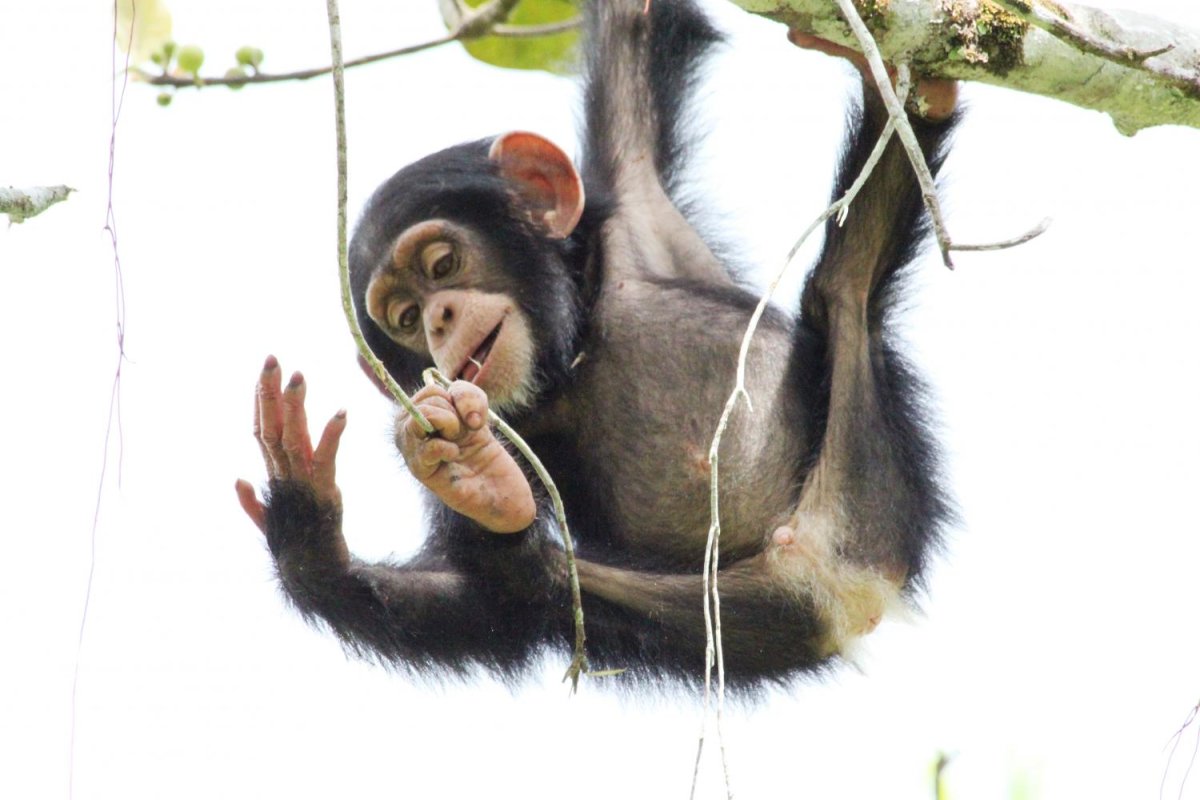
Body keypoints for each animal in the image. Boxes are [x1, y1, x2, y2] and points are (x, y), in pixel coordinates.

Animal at [235, 0, 959, 689]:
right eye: (403, 318)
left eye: (442, 264)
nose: (439, 318)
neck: (572, 354)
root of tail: (842, 584)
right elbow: (473, 606)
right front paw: (309, 530)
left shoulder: (634, 195)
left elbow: (633, 26)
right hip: (745, 614)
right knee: (545, 595)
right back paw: (495, 499)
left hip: (867, 499)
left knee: (846, 290)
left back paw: (909, 94)